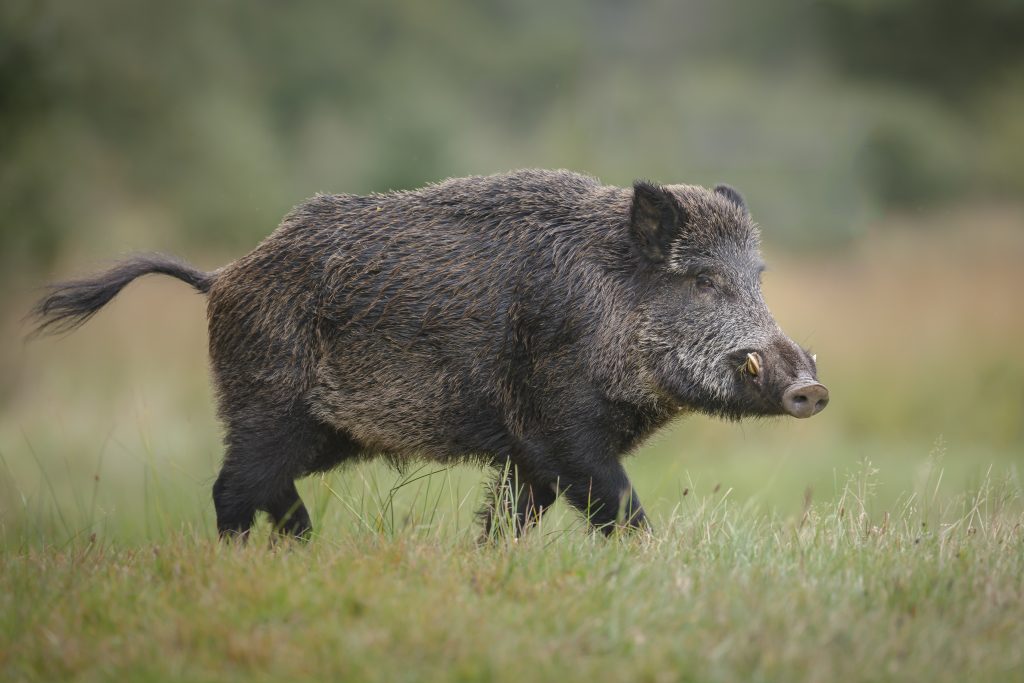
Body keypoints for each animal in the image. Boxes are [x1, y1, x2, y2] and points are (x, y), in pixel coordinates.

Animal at [30, 170, 828, 540]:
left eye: (757, 278)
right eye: (701, 279)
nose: (811, 389)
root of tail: (222, 276)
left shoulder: (529, 453)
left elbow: (512, 517)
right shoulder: (561, 428)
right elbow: (618, 506)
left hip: (321, 431)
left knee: (268, 489)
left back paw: (306, 549)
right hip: (265, 405)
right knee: (234, 488)